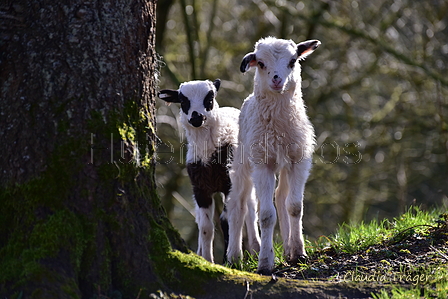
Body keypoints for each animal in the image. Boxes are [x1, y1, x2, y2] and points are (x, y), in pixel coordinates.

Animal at [158, 79, 260, 264]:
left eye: (210, 98)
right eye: (183, 101)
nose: (196, 117)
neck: (208, 152)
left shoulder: (229, 185)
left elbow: (226, 221)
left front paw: (230, 261)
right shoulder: (200, 188)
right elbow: (206, 227)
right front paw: (207, 259)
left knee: (249, 209)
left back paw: (255, 249)